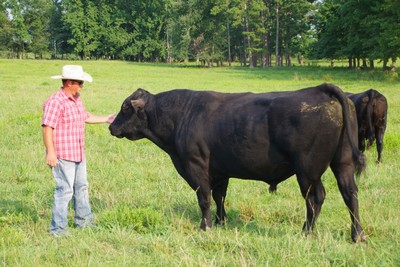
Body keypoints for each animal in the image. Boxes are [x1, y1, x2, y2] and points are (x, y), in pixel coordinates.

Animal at [108, 84, 366, 243]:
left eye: (125, 108)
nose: (111, 126)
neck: (181, 115)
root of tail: (320, 89)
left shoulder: (195, 166)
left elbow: (204, 199)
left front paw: (205, 227)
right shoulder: (220, 171)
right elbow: (219, 197)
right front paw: (221, 221)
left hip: (308, 171)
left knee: (315, 199)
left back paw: (306, 232)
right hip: (342, 163)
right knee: (350, 195)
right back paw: (357, 235)